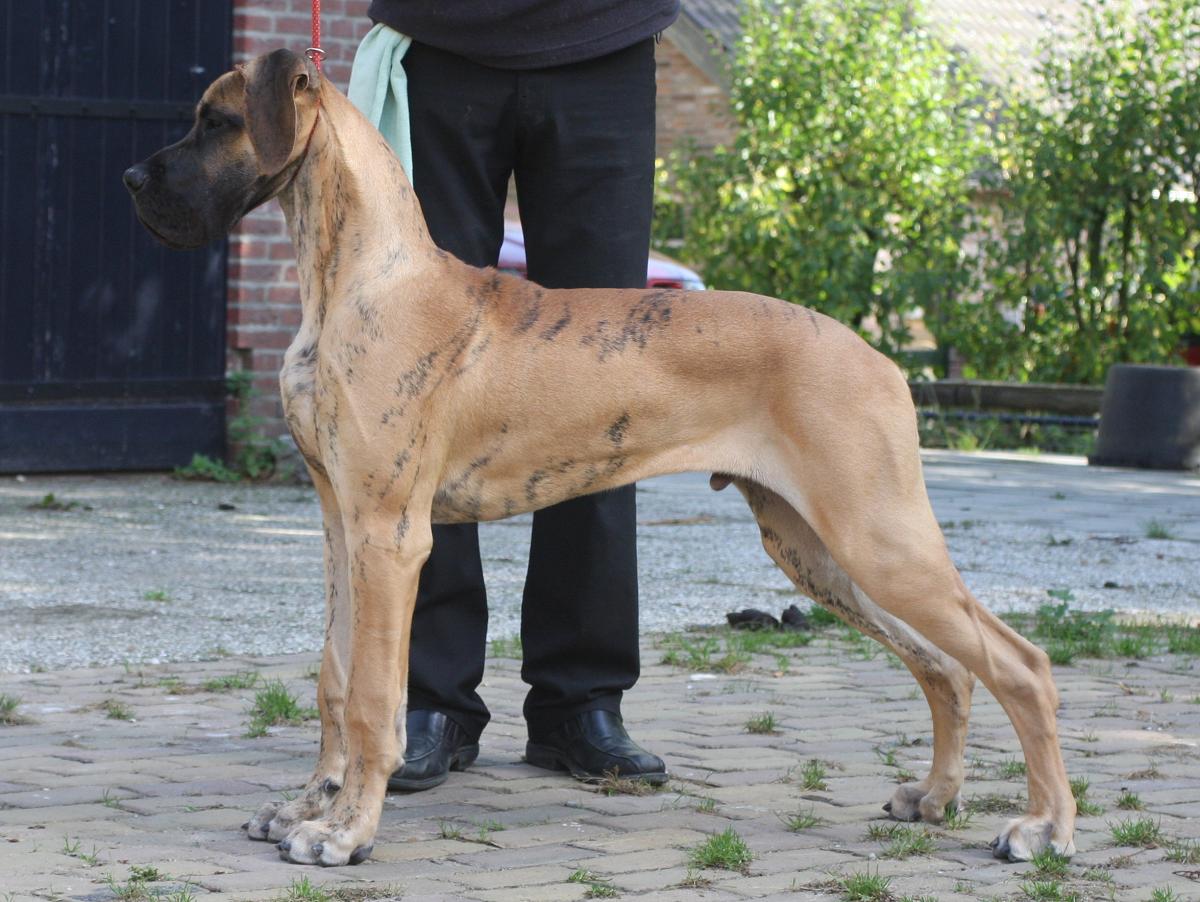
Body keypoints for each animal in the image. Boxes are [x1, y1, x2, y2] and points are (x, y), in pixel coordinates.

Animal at [124, 49, 1077, 867]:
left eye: (218, 122)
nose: (132, 180)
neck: (357, 277)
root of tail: (880, 356)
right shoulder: (339, 525)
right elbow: (332, 676)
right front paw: (310, 806)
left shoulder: (389, 537)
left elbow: (371, 702)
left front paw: (348, 831)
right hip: (816, 549)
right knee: (947, 668)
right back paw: (934, 797)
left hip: (876, 539)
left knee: (1018, 665)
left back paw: (1042, 828)